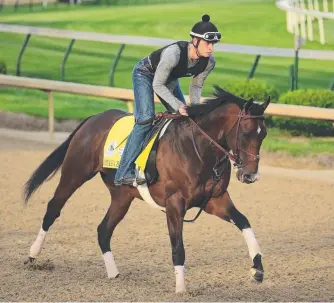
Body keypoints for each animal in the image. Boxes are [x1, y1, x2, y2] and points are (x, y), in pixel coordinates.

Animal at [23, 86, 270, 294]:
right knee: (53, 208)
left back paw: (113, 273)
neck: (198, 149)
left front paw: (257, 268)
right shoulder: (174, 204)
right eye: (246, 133)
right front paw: (181, 288)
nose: (250, 175)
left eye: (263, 134)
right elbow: (178, 247)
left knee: (103, 230)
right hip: (75, 173)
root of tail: (93, 118)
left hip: (122, 196)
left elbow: (244, 222)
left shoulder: (215, 199)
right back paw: (32, 256)